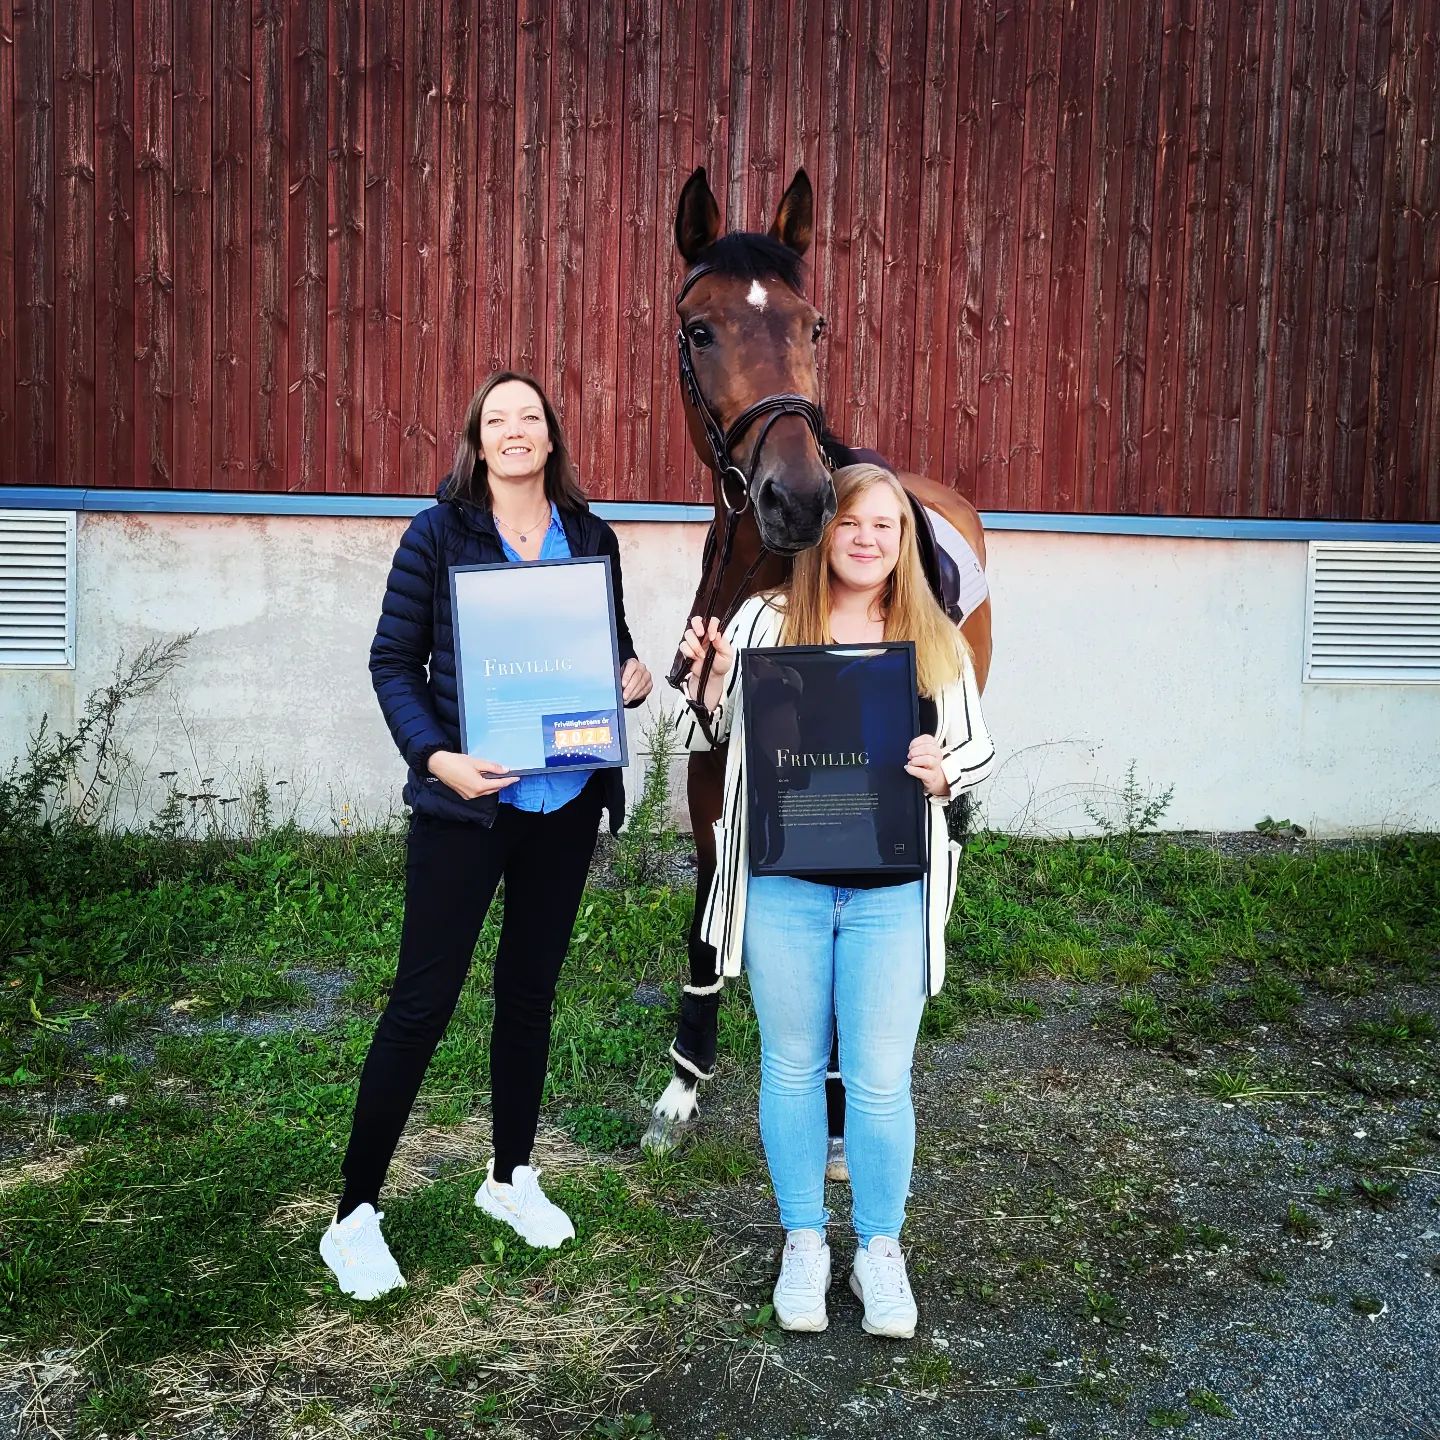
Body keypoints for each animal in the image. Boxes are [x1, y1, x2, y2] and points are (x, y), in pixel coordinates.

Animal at [642, 168, 990, 1152]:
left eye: (814, 326)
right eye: (700, 329)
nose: (798, 498)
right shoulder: (714, 757)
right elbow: (709, 911)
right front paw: (683, 1082)